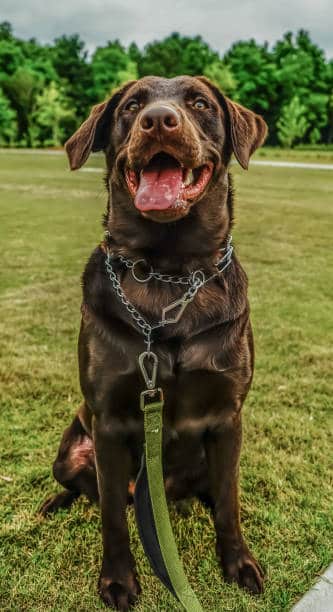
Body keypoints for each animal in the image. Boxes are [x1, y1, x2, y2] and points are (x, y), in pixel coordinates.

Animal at [40, 75, 268, 608]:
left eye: (200, 103)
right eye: (131, 106)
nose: (159, 120)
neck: (169, 271)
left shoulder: (228, 417)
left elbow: (229, 504)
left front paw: (239, 563)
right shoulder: (108, 422)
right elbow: (111, 517)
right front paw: (118, 580)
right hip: (70, 452)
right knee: (89, 491)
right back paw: (54, 503)